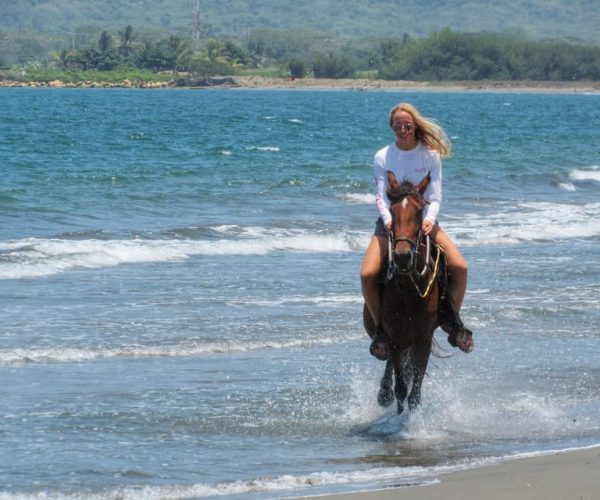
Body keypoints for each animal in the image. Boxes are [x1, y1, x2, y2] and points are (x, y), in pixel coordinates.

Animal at [360, 172, 446, 414]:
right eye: (392, 210)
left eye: (419, 211)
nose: (402, 256)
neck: (409, 289)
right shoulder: (396, 338)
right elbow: (401, 389)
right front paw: (398, 416)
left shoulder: (424, 340)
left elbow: (414, 394)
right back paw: (384, 393)